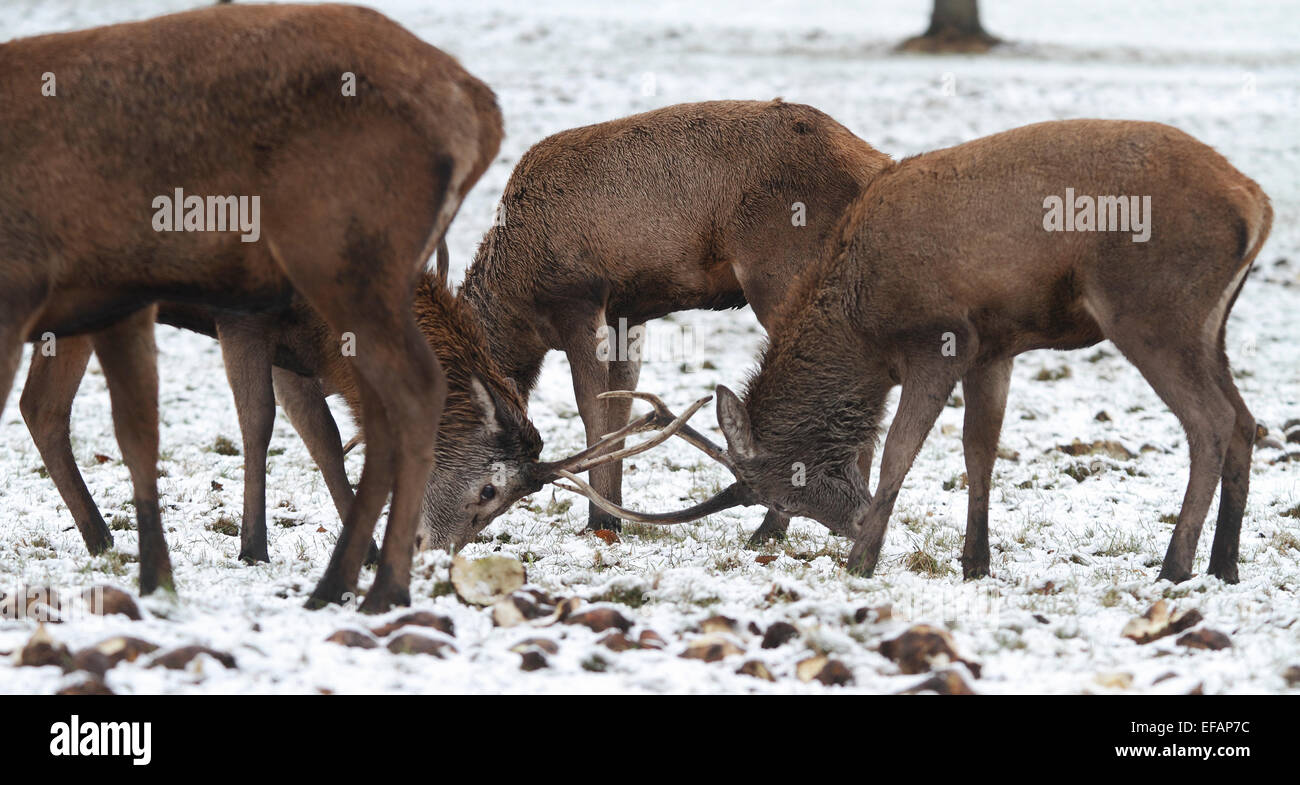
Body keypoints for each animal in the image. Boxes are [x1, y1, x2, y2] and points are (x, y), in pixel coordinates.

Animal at [431, 101, 889, 548]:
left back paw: (772, 529)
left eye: (489, 489)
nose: (438, 541)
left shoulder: (579, 300)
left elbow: (592, 408)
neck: (520, 307)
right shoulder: (626, 313)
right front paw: (610, 516)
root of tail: (876, 166)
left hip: (782, 271)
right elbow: (621, 407)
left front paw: (600, 520)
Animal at [564, 116, 1274, 582]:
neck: (864, 325)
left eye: (786, 496)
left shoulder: (942, 339)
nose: (848, 524)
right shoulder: (995, 344)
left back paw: (1174, 568)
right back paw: (1225, 565)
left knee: (1210, 422)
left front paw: (864, 559)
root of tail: (1257, 205)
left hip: (1152, 309)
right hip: (1212, 324)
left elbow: (901, 451)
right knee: (1245, 420)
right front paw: (975, 564)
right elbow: (979, 451)